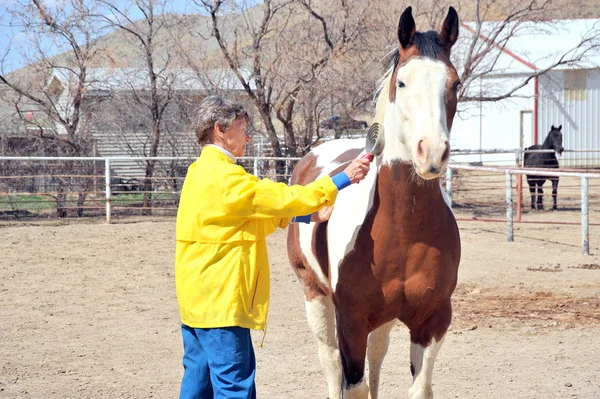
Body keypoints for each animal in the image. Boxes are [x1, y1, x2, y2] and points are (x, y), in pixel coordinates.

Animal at [286, 6, 460, 399]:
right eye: (402, 83)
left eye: (455, 83)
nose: (432, 153)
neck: (404, 229)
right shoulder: (350, 320)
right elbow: (353, 384)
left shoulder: (433, 319)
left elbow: (418, 387)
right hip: (314, 294)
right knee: (330, 363)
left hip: (383, 318)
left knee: (377, 357)